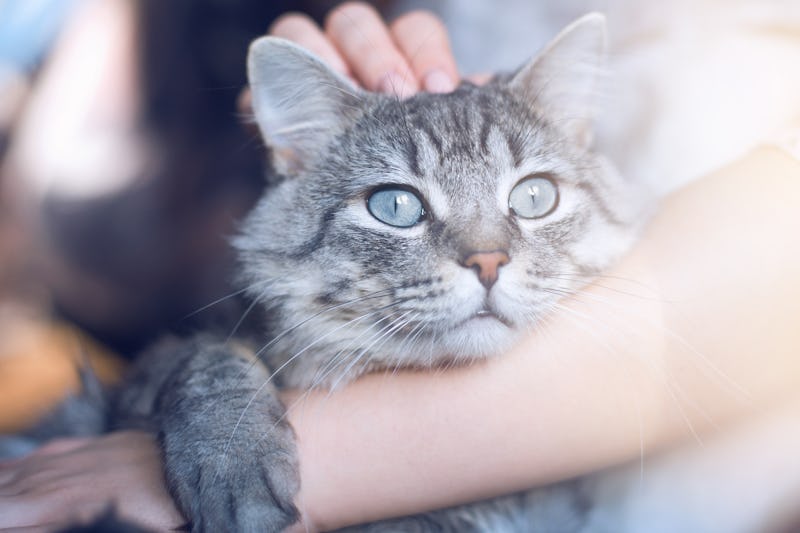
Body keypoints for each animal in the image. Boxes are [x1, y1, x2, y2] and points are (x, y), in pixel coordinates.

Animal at [6, 12, 648, 532]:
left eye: (534, 197)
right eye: (396, 206)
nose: (488, 262)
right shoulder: (134, 383)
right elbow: (206, 359)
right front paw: (233, 466)